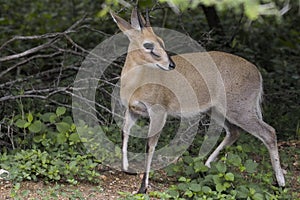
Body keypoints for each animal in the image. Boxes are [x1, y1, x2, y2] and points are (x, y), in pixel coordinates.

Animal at [110, 8, 286, 193]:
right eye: (148, 45)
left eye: (162, 42)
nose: (171, 65)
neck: (135, 84)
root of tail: (258, 74)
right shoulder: (133, 109)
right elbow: (125, 132)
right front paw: (126, 168)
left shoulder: (159, 110)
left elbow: (150, 145)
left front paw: (143, 187)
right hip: (217, 109)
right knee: (234, 131)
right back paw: (205, 167)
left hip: (240, 106)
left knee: (269, 132)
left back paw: (281, 183)